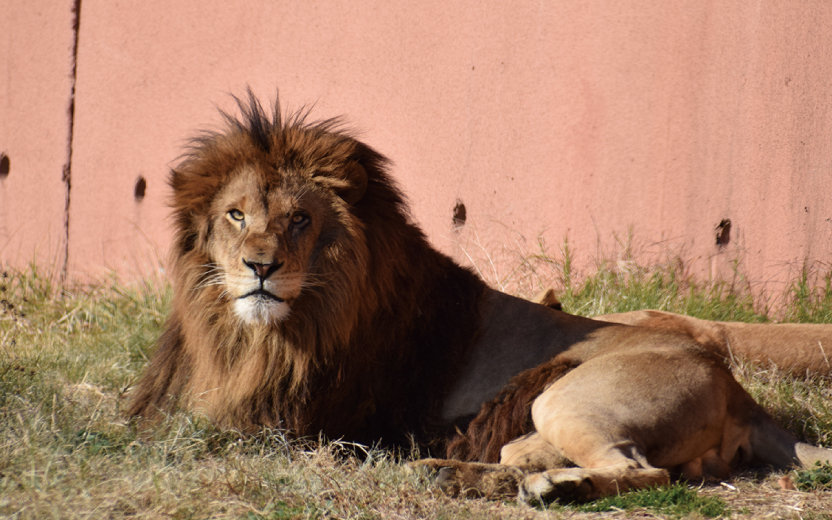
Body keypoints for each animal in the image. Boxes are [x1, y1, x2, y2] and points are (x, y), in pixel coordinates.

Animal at [129, 91, 832, 503]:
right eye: (236, 215)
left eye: (299, 220)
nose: (260, 267)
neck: (253, 338)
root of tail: (738, 389)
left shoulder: (298, 427)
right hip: (534, 424)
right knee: (538, 460)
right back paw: (463, 475)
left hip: (565, 398)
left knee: (645, 475)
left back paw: (549, 490)